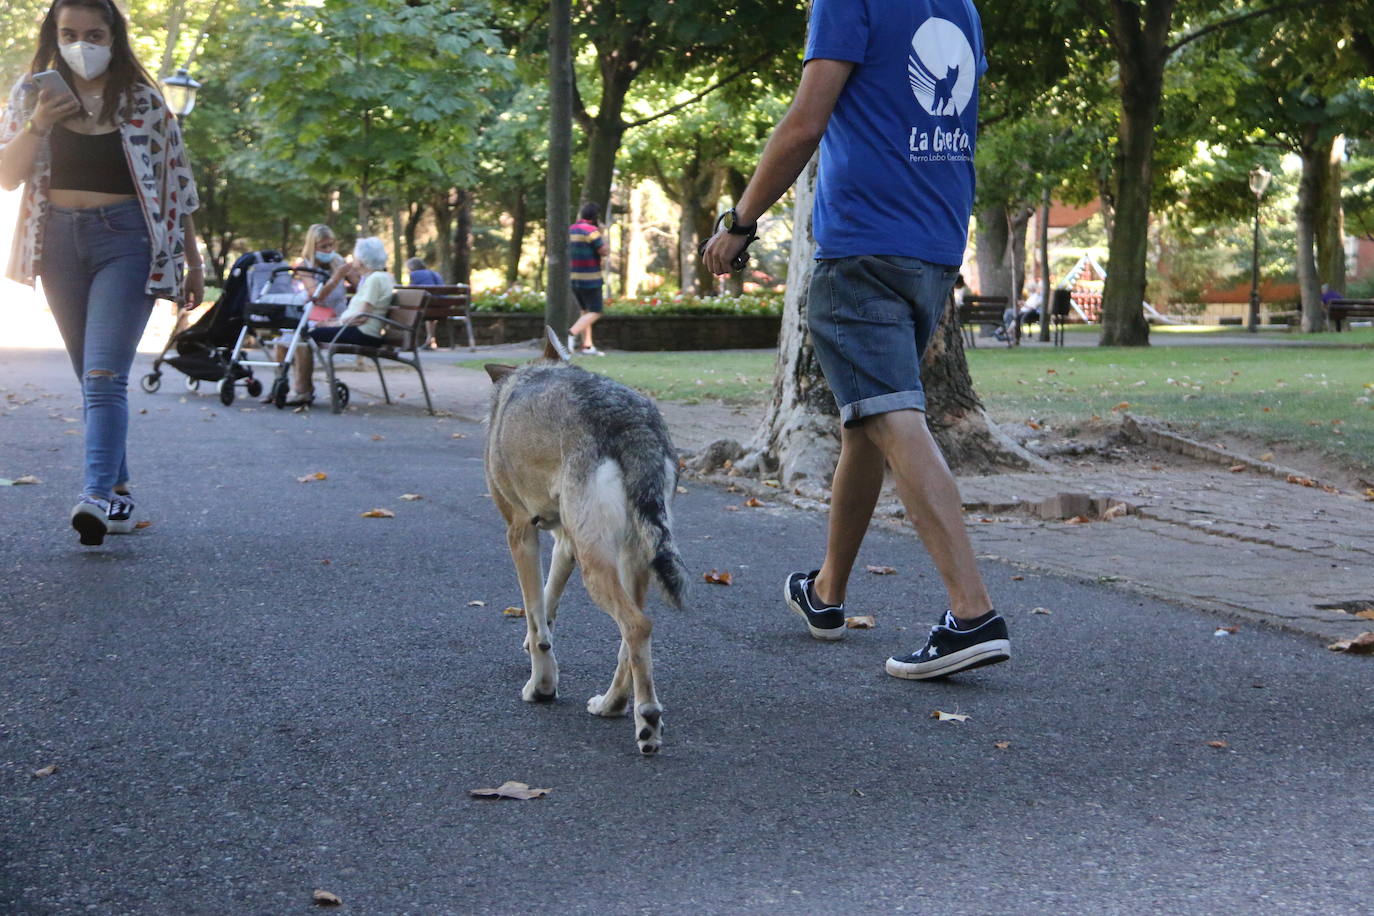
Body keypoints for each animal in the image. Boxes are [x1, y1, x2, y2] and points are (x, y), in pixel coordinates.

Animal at [489, 333, 692, 758]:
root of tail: (632, 420)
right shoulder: (564, 543)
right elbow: (547, 606)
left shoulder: (520, 533)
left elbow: (536, 621)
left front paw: (541, 688)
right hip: (629, 559)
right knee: (633, 637)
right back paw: (613, 705)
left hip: (596, 569)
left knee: (636, 625)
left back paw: (647, 722)